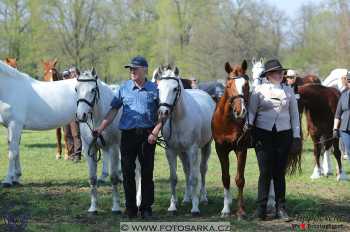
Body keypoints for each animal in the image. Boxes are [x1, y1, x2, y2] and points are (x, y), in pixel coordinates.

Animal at [76, 68, 142, 212]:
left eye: (93, 90)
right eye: (76, 89)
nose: (81, 115)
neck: (100, 117)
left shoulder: (114, 148)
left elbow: (114, 178)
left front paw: (116, 207)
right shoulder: (90, 149)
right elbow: (92, 178)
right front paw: (93, 207)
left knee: (139, 172)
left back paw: (139, 200)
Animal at [157, 65, 216, 216]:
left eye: (175, 88)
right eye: (158, 88)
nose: (163, 112)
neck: (180, 119)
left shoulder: (192, 150)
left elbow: (194, 179)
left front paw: (195, 208)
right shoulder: (171, 151)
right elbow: (173, 178)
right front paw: (172, 206)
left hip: (205, 147)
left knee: (202, 170)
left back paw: (203, 198)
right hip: (182, 152)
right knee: (187, 170)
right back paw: (186, 198)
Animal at [211, 60, 252, 219]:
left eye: (246, 85)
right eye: (228, 85)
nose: (240, 111)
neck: (228, 122)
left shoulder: (241, 149)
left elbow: (239, 179)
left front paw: (241, 211)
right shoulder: (220, 149)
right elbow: (226, 178)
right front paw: (226, 209)